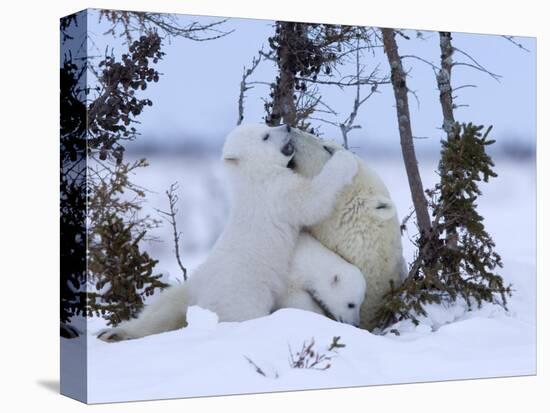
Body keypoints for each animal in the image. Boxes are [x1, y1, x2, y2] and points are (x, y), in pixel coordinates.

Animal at [97, 122, 360, 342]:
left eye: (266, 125)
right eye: (266, 136)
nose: (286, 125)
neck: (253, 177)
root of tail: (204, 306)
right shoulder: (277, 193)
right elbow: (313, 201)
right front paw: (345, 159)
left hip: (194, 284)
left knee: (161, 309)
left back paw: (113, 332)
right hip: (242, 296)